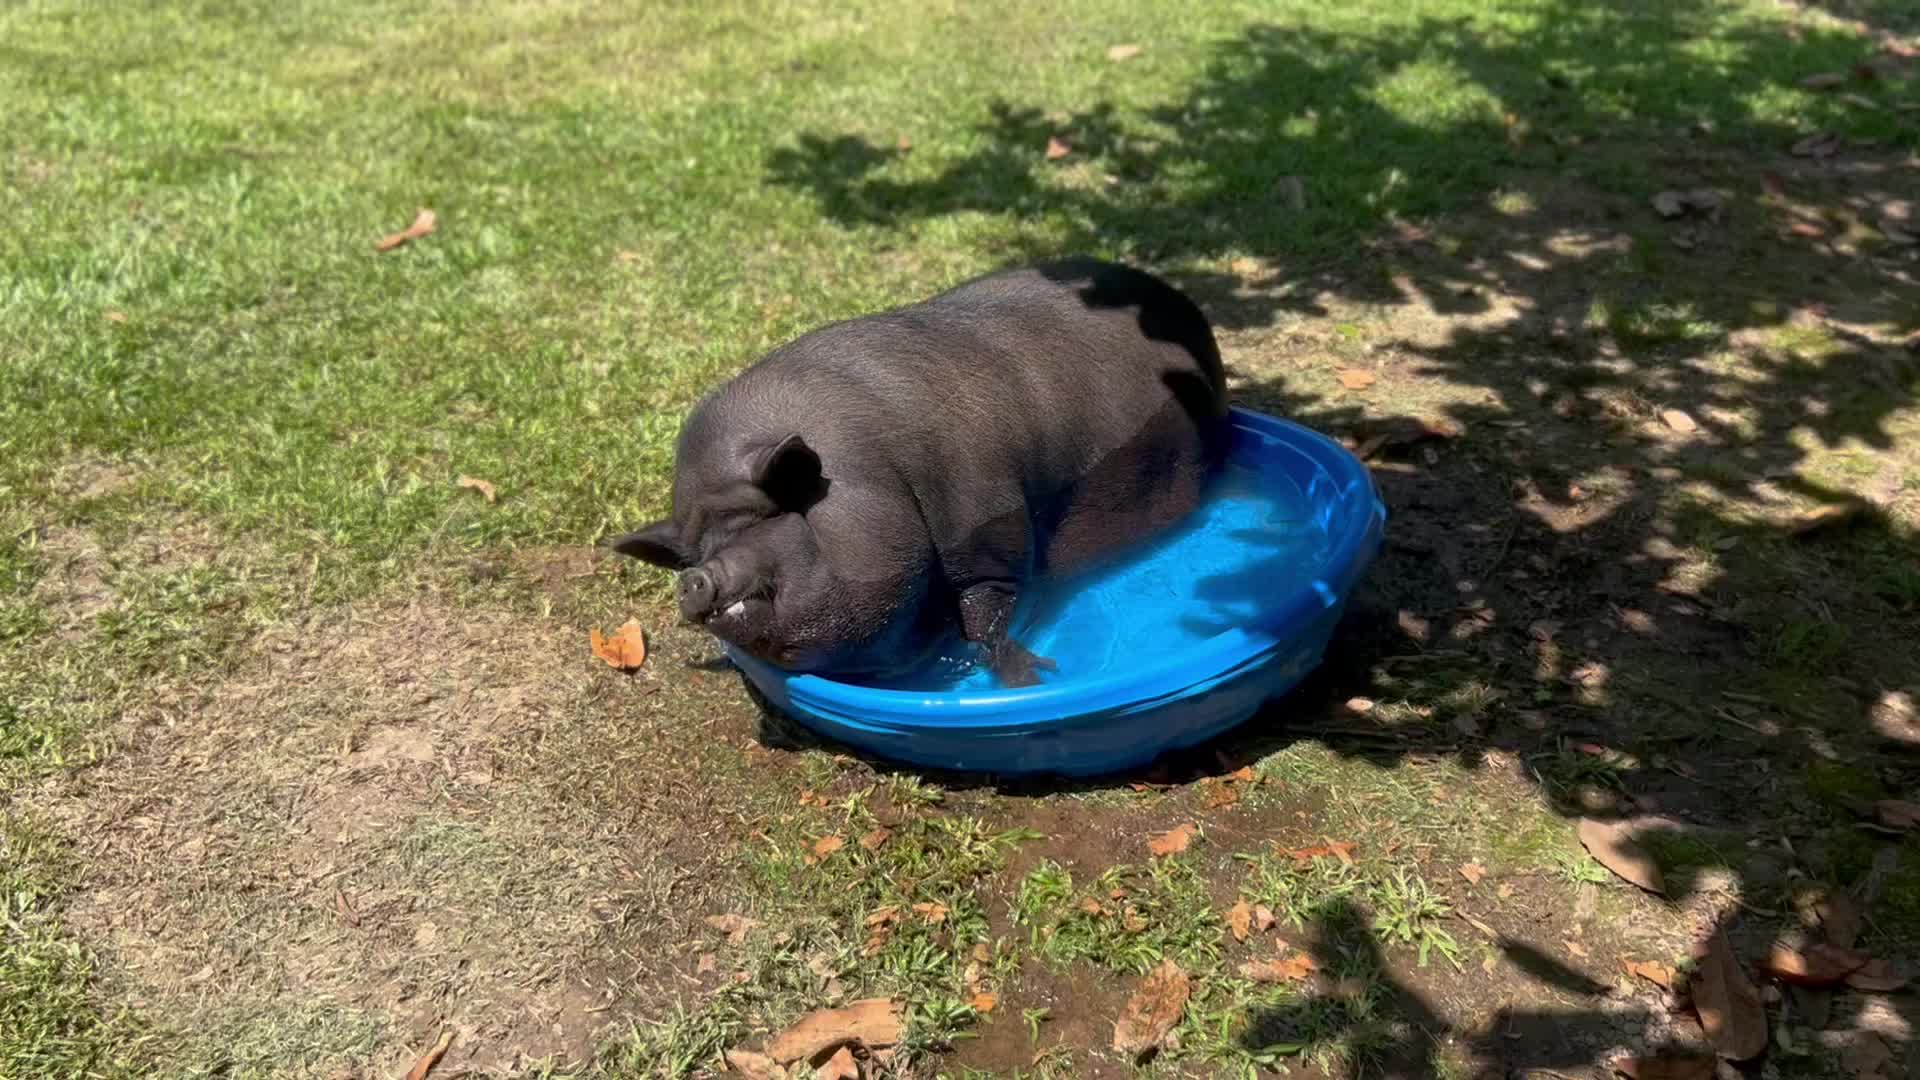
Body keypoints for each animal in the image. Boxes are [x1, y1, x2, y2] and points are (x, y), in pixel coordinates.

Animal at [607, 256, 1228, 687]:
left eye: (765, 519)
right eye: (692, 551)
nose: (695, 577)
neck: (878, 472)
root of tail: (1182, 305)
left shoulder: (991, 532)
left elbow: (989, 611)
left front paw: (1033, 676)